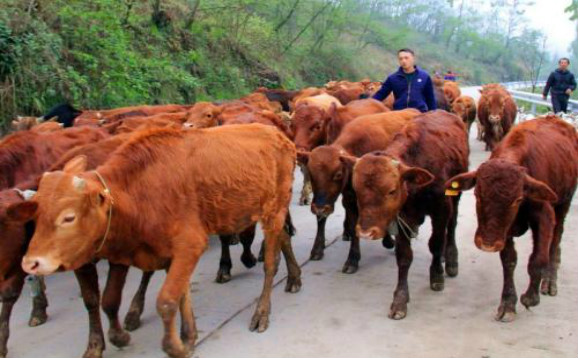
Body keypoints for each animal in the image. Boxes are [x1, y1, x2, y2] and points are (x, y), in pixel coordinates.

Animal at [15, 124, 300, 358]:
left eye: (68, 217)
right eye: (35, 216)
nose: (30, 263)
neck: (139, 191)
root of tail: (279, 135)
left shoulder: (190, 245)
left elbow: (166, 301)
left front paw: (175, 346)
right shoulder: (148, 253)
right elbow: (158, 297)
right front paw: (185, 336)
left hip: (273, 210)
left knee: (270, 264)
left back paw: (262, 312)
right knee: (285, 238)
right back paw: (295, 278)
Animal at [300, 107, 416, 272]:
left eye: (338, 174)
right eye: (310, 173)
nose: (320, 207)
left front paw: (353, 258)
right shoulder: (345, 199)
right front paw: (320, 249)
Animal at [352, 111, 468, 318]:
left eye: (391, 191)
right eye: (356, 190)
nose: (365, 232)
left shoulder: (441, 210)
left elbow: (435, 244)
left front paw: (437, 275)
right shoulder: (402, 217)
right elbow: (404, 257)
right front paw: (400, 299)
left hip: (456, 197)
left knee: (452, 227)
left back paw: (450, 258)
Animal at [446, 117, 576, 322]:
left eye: (517, 199)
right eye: (477, 194)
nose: (487, 244)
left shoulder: (545, 215)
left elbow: (538, 258)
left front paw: (530, 297)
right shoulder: (503, 231)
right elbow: (509, 261)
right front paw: (507, 304)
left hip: (564, 204)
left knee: (555, 241)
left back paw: (549, 281)